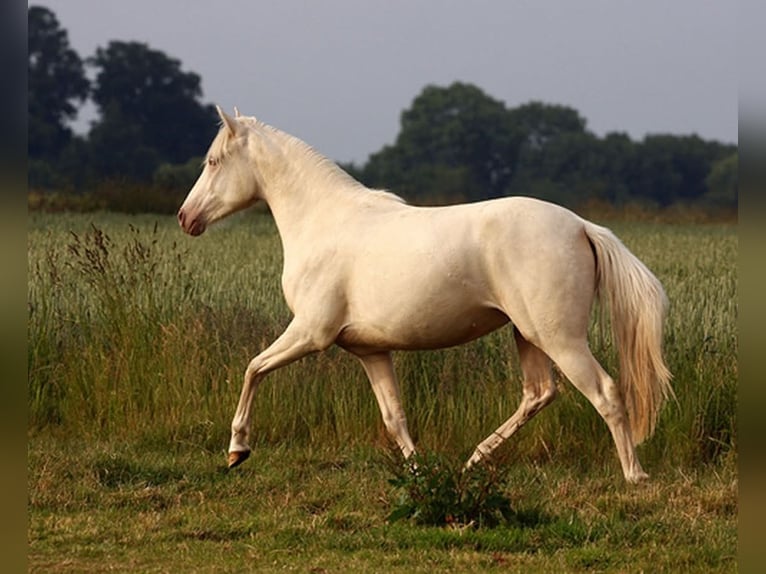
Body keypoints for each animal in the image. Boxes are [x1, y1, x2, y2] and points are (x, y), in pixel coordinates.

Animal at [178, 106, 673, 483]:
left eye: (213, 161)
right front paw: (419, 473)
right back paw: (474, 460)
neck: (323, 223)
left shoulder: (310, 333)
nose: (185, 217)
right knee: (538, 393)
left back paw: (634, 476)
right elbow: (394, 416)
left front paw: (237, 449)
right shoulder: (370, 351)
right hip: (528, 335)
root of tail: (582, 226)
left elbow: (253, 368)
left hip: (560, 338)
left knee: (605, 392)